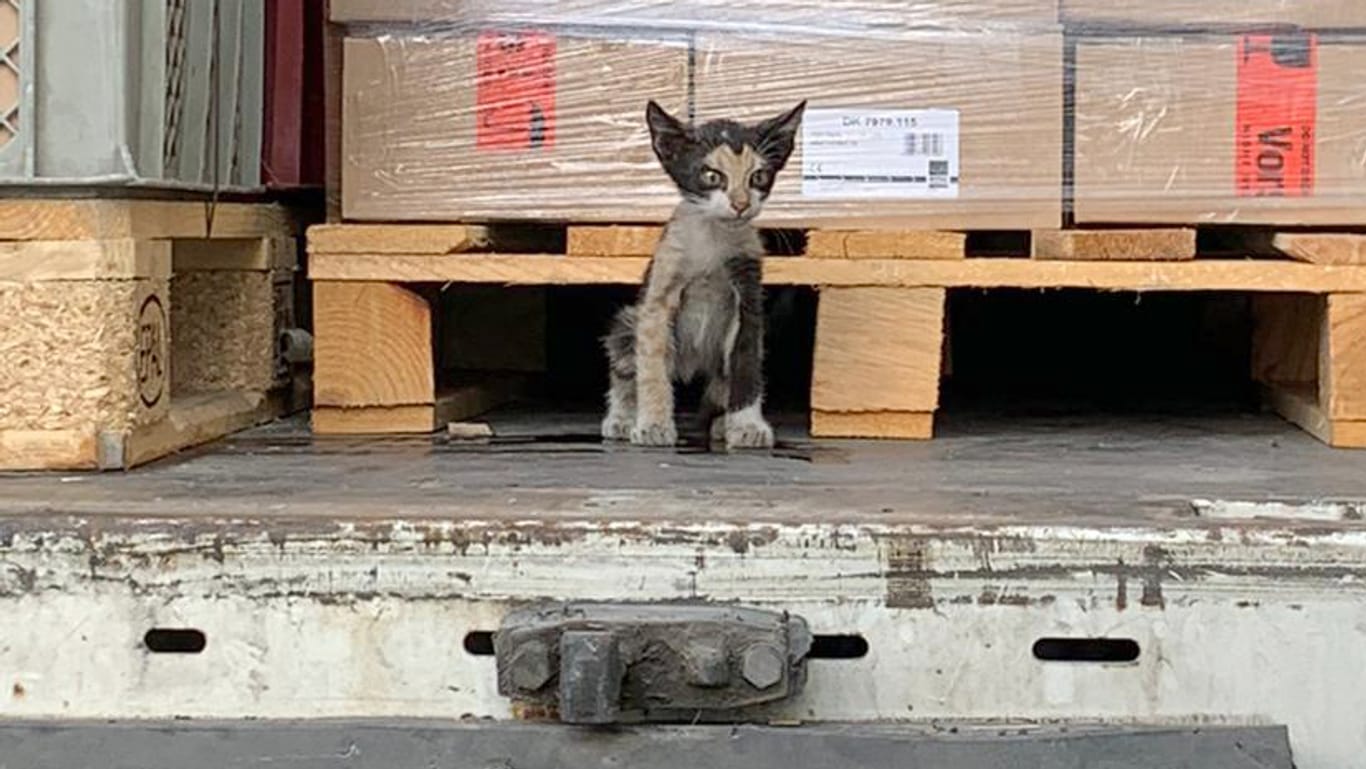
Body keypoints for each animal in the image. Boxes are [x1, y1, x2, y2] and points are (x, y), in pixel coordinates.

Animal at [598, 99, 797, 448]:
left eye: (758, 176)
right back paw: (622, 418)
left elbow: (747, 364)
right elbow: (651, 367)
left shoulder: (748, 297)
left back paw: (720, 423)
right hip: (627, 321)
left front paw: (747, 425)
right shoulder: (658, 298)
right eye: (711, 176)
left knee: (721, 384)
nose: (740, 204)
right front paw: (653, 424)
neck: (713, 240)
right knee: (624, 365)